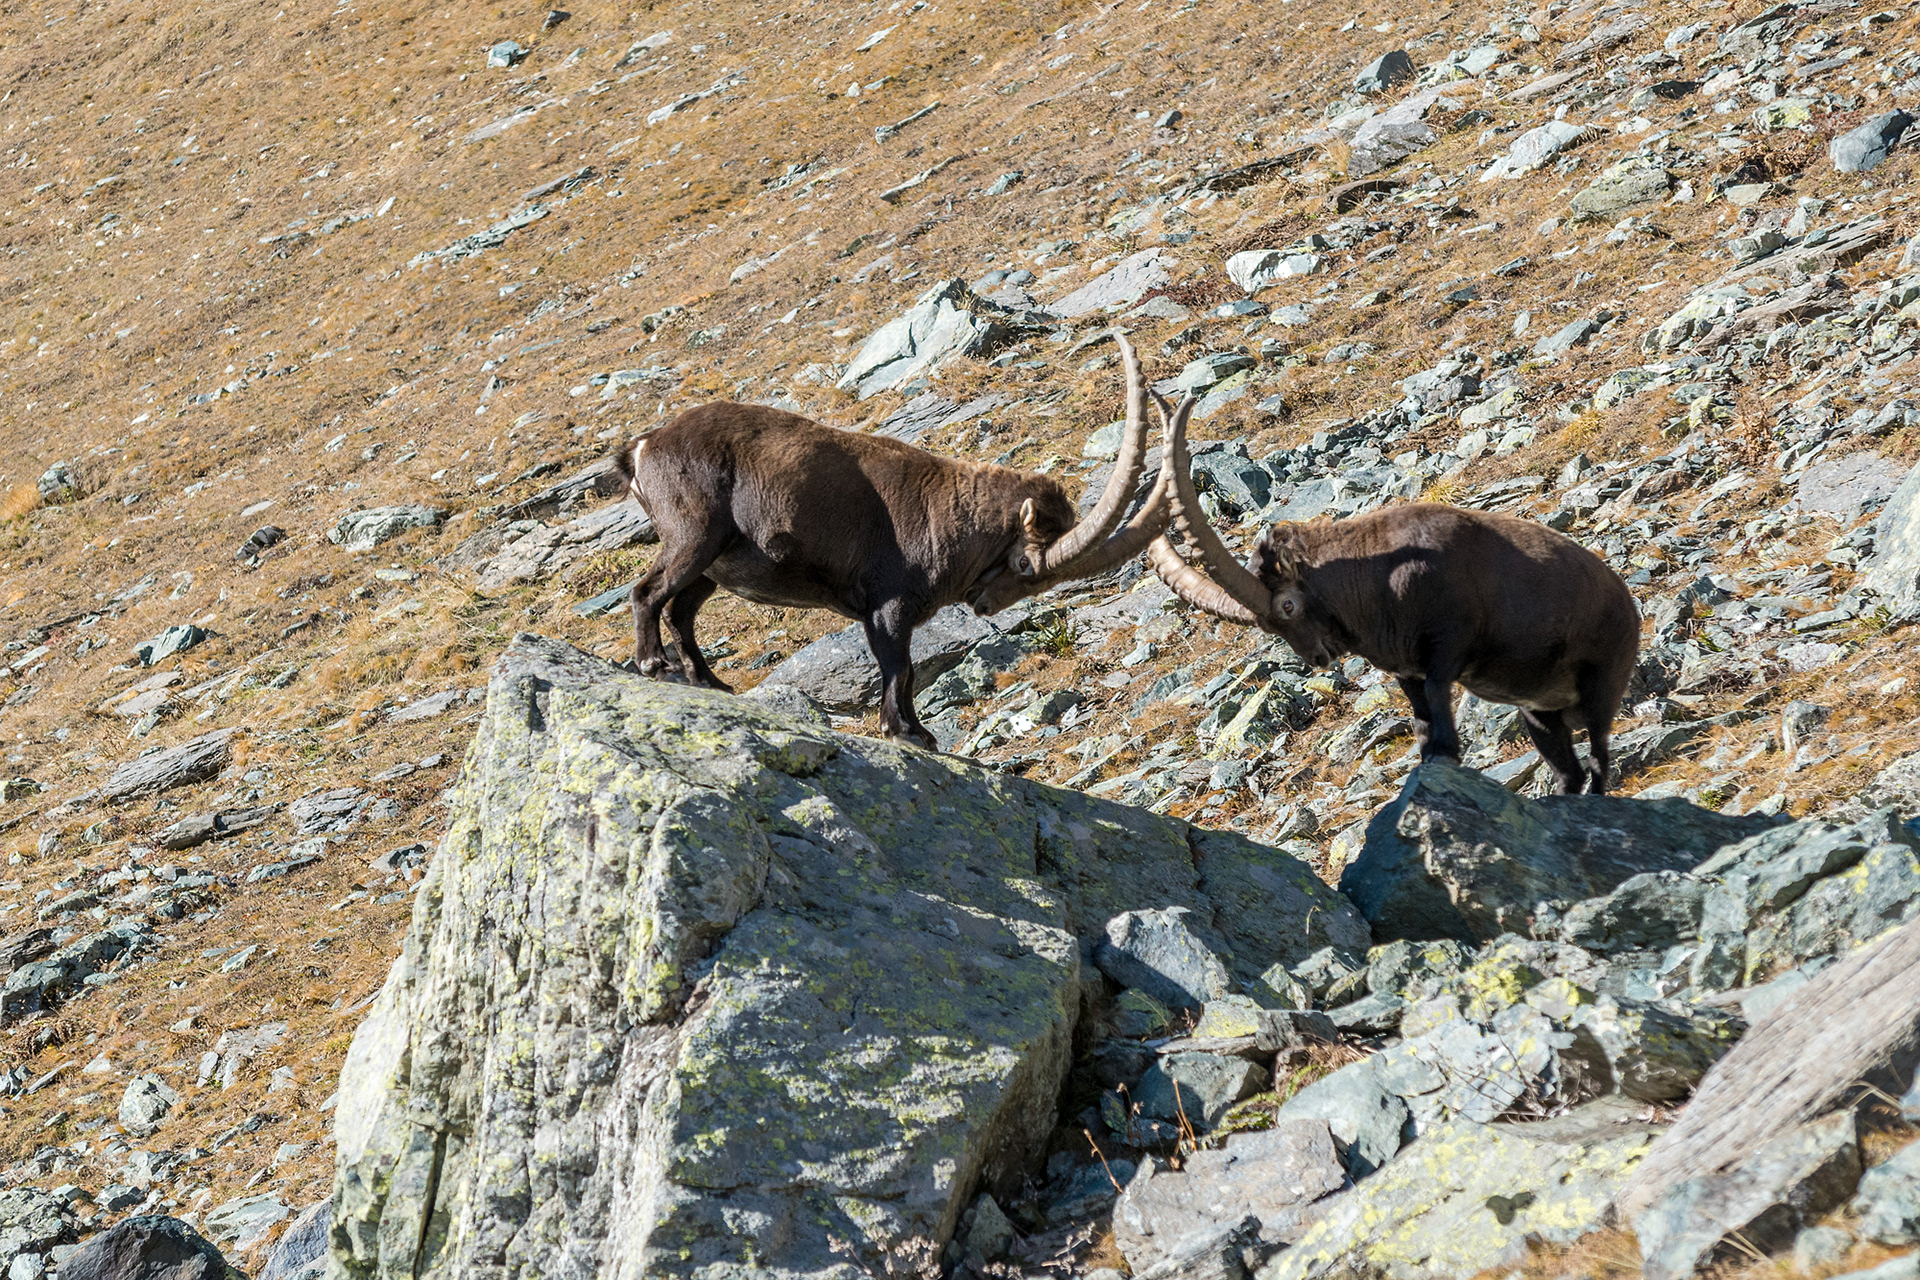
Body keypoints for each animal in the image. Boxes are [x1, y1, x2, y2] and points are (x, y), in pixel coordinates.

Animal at [613, 334, 1184, 749]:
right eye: (1025, 564)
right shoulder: (887, 604)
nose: (983, 605)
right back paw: (654, 665)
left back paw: (709, 682)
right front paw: (907, 731)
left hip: (714, 564)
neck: (950, 515)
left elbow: (904, 672)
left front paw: (916, 730)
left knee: (680, 609)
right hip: (693, 534)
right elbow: (901, 667)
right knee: (647, 592)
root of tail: (645, 447)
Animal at [1145, 404, 1639, 793]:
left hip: (1601, 687)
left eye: (1287, 606)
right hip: (1539, 713)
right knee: (1570, 773)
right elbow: (1421, 726)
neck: (1378, 580)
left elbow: (1440, 713)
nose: (1317, 659)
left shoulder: (1448, 645)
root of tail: (1628, 604)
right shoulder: (1407, 672)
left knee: (1599, 760)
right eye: (1268, 627)